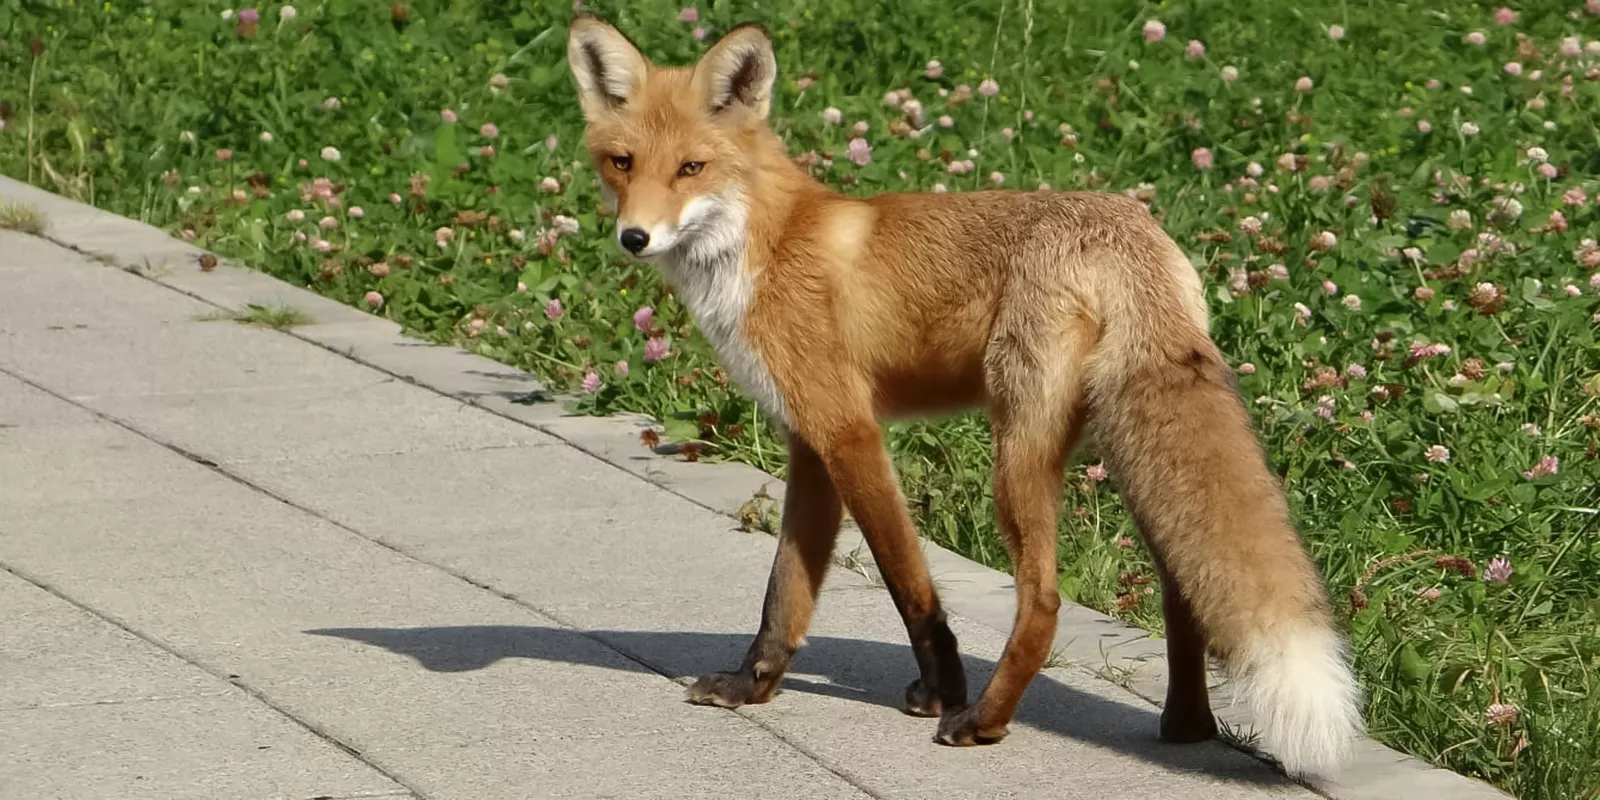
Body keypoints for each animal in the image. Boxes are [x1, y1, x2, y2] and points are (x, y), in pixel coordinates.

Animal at [565, 14, 1364, 778]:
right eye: (623, 162)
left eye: (692, 168)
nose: (634, 237)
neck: (764, 245)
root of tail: (1126, 229)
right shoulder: (810, 441)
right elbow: (784, 594)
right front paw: (750, 686)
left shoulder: (848, 431)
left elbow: (907, 581)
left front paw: (942, 688)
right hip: (1132, 456)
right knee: (1183, 587)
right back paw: (1187, 727)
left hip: (1017, 457)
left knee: (1043, 601)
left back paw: (983, 720)